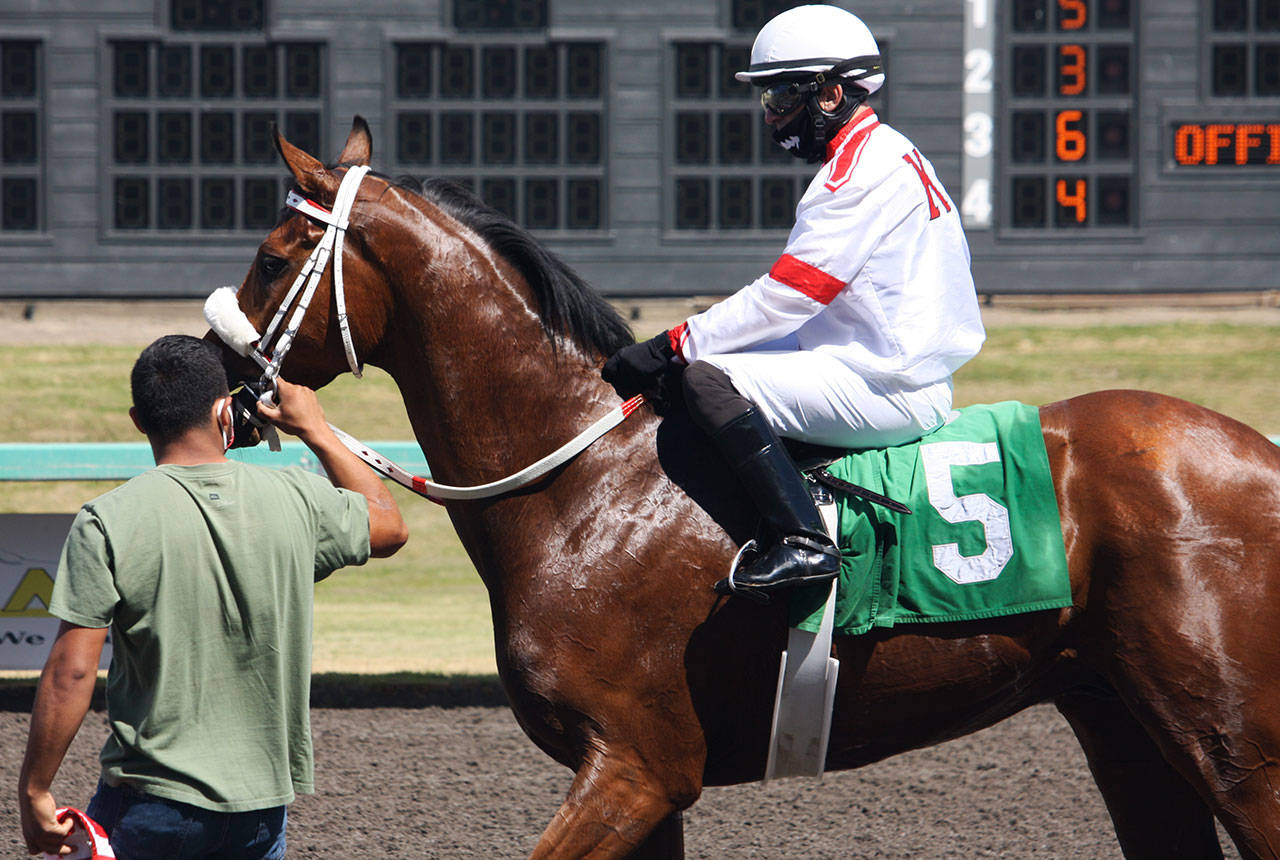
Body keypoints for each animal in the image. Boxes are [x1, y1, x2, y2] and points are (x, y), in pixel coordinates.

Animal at [212, 117, 1280, 854]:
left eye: (271, 257)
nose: (222, 385)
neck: (582, 487)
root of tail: (1257, 453)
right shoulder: (642, 782)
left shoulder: (636, 768)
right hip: (1123, 725)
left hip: (1234, 747)